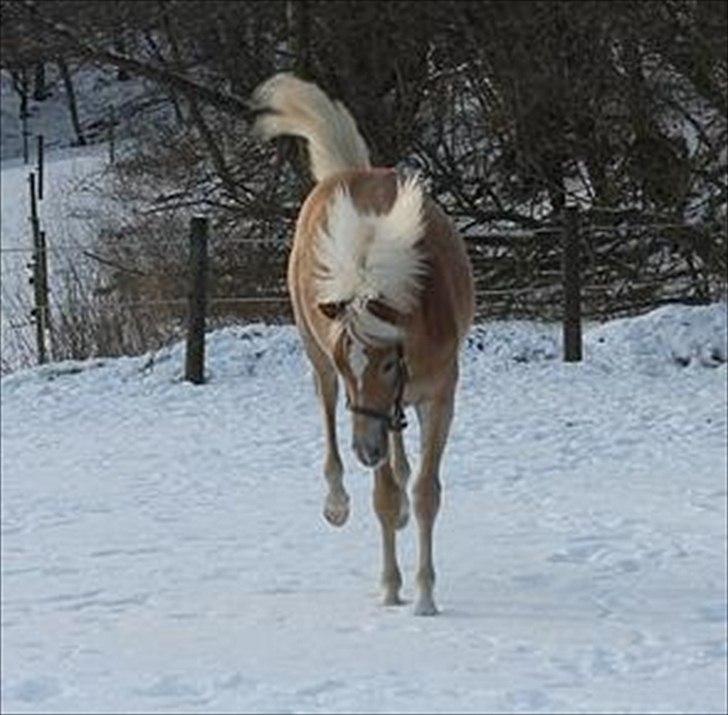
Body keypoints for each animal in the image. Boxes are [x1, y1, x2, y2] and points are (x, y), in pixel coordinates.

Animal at [253, 72, 474, 616]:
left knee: (400, 458)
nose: (365, 451)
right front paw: (392, 587)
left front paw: (425, 596)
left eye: (389, 365)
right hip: (316, 365)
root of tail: (344, 173)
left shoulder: (440, 394)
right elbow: (385, 497)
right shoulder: (353, 394)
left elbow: (426, 493)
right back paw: (336, 502)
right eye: (349, 365)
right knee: (330, 425)